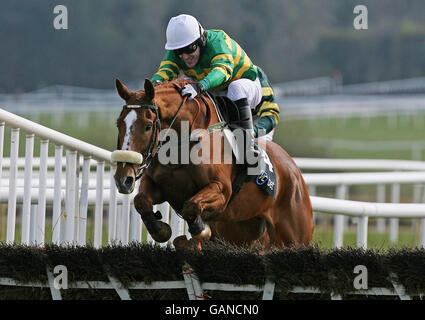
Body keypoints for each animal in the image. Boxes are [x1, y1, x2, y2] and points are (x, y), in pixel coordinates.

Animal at [111, 77, 314, 250]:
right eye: (118, 123)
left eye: (148, 126)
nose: (124, 179)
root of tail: (294, 170)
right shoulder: (157, 185)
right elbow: (141, 201)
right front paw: (160, 229)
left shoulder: (221, 191)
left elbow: (192, 205)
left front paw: (200, 229)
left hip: (294, 236)